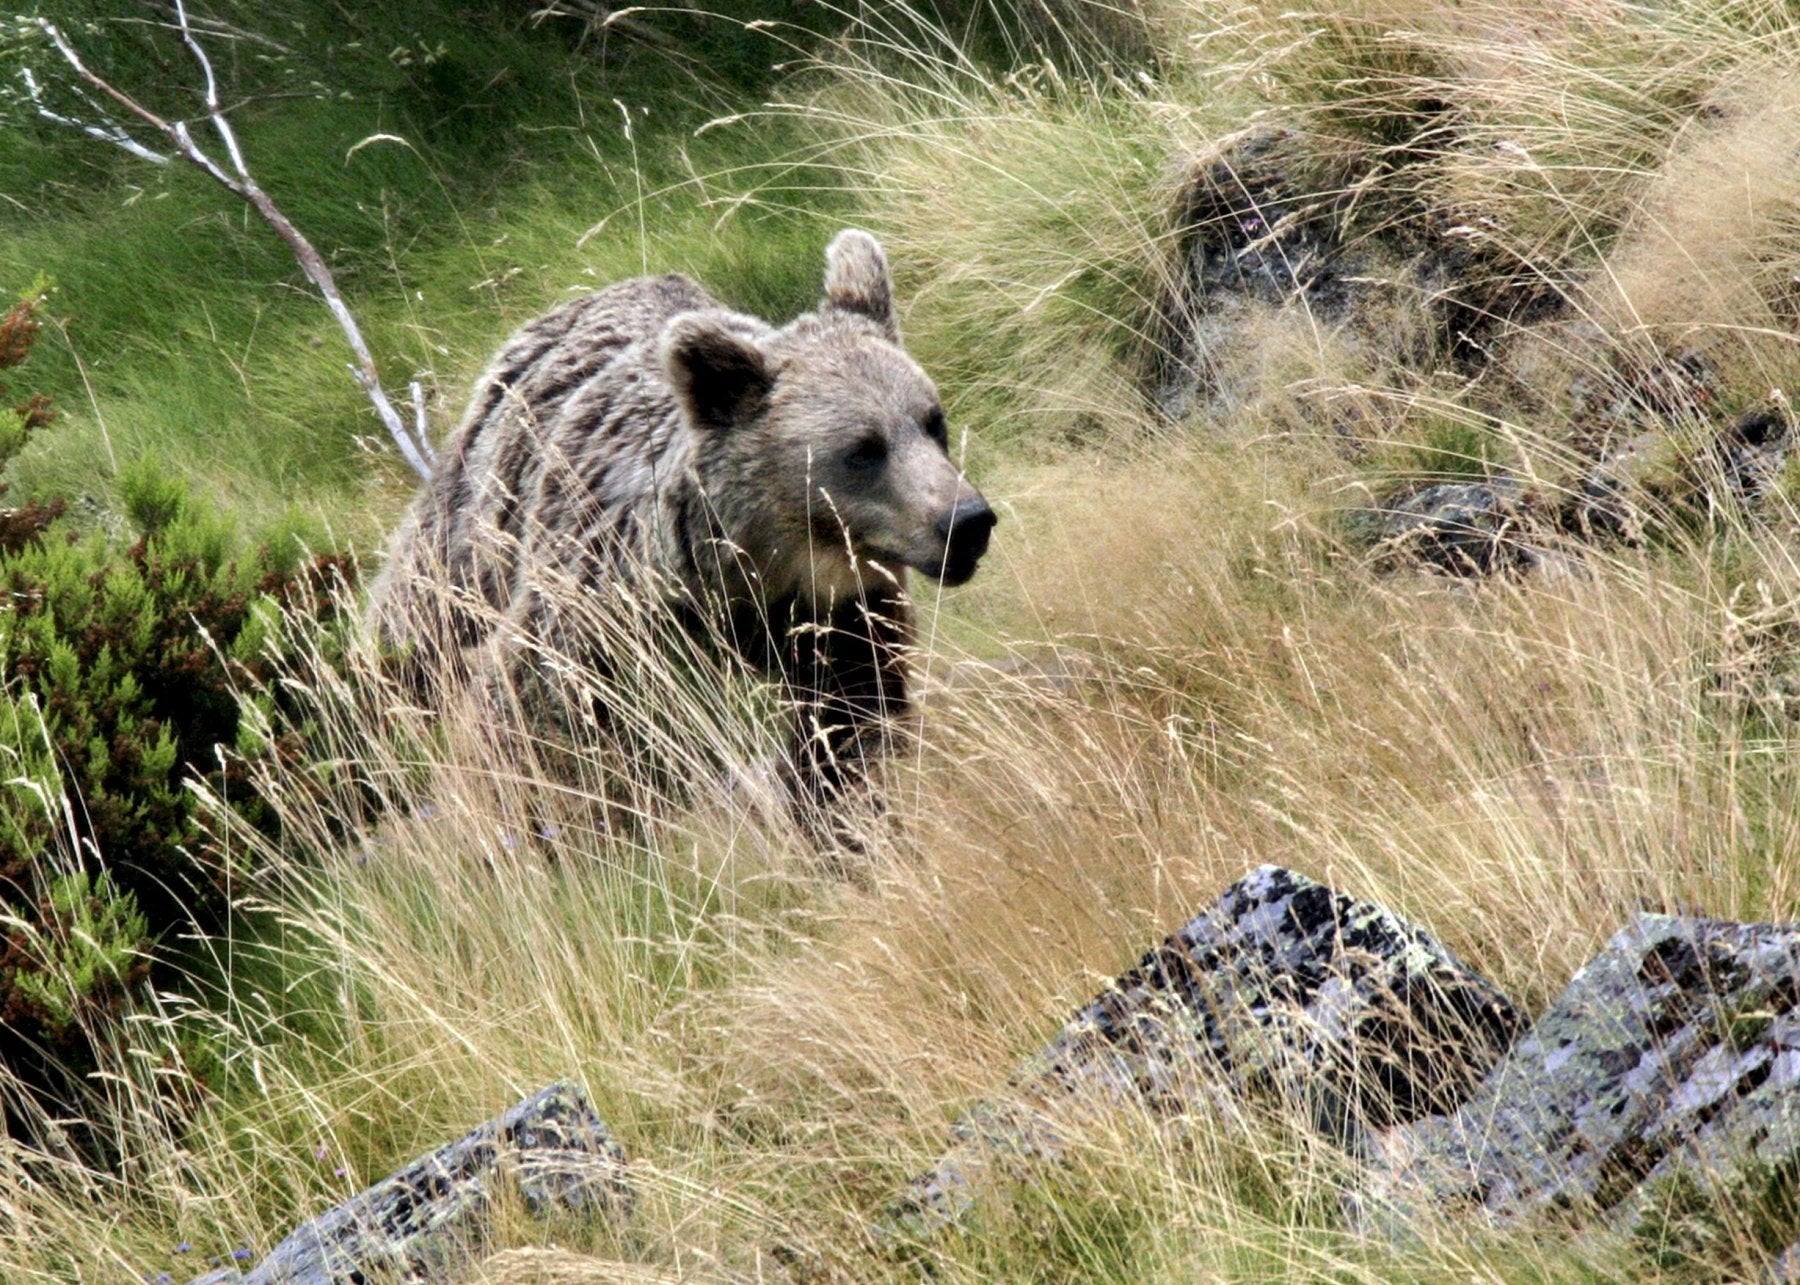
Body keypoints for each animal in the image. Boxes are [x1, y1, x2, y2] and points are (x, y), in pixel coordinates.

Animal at [367, 230, 1000, 842]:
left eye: (932, 420)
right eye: (864, 449)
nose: (966, 521)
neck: (761, 571)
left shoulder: (841, 624)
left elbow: (844, 729)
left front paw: (847, 825)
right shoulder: (602, 617)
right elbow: (538, 724)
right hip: (470, 535)